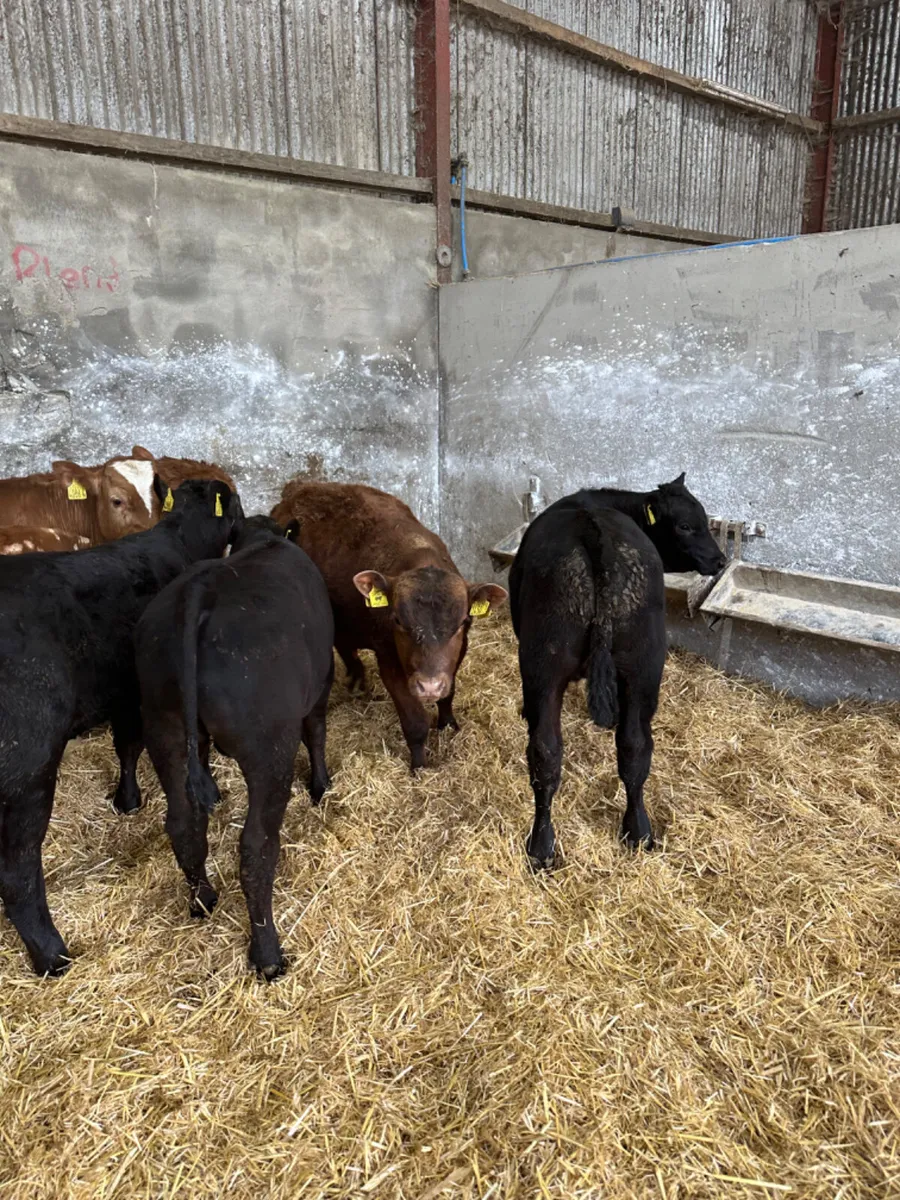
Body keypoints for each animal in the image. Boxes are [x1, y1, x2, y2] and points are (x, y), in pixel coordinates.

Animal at [0, 478, 243, 976]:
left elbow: (125, 747)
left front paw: (125, 799)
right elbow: (148, 745)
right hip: (27, 768)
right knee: (17, 876)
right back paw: (52, 954)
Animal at [135, 514, 333, 979]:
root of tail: (199, 592)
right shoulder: (321, 684)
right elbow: (316, 731)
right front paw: (321, 786)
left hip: (162, 726)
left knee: (183, 823)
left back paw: (202, 900)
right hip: (268, 748)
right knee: (257, 846)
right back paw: (268, 955)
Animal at [271, 482, 508, 770]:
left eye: (462, 622)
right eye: (397, 620)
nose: (429, 686)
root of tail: (300, 488)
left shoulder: (459, 653)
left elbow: (448, 695)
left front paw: (448, 724)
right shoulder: (389, 663)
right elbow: (415, 722)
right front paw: (419, 767)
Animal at [509, 474, 726, 869]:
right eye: (687, 525)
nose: (719, 560)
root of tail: (594, 533)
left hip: (543, 664)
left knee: (546, 751)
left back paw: (542, 846)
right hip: (644, 664)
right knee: (634, 747)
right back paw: (637, 831)